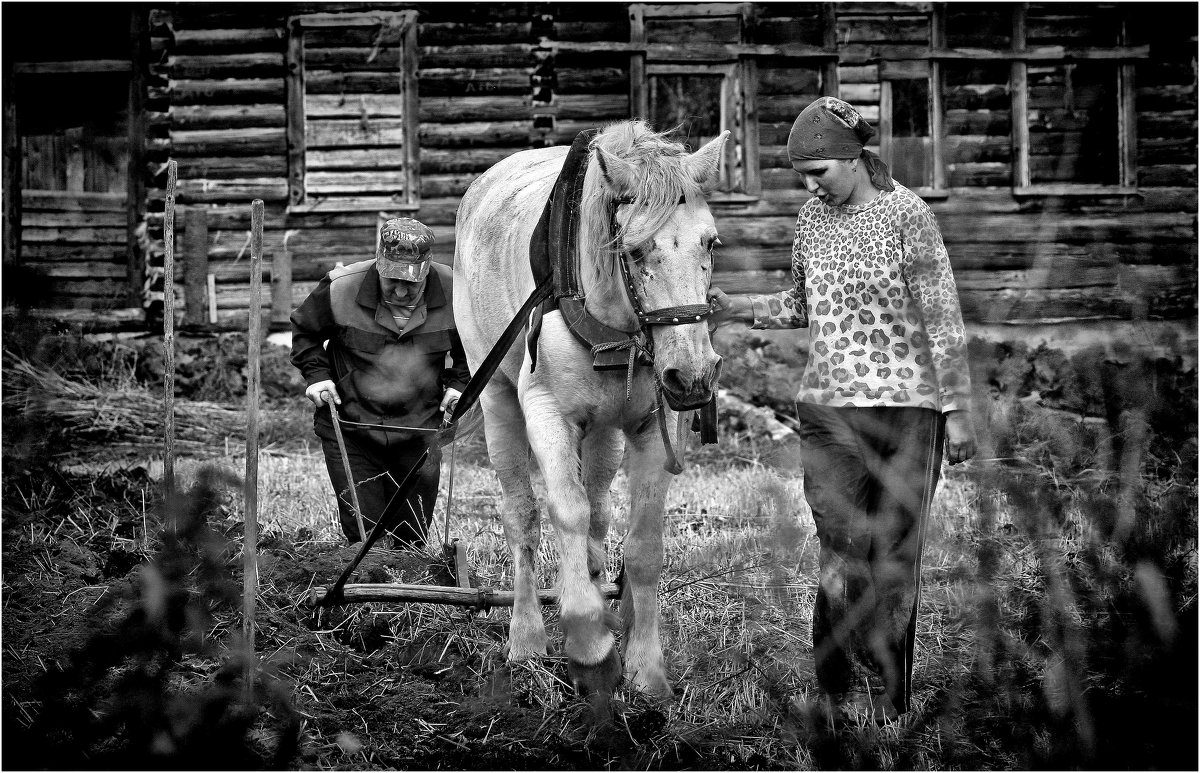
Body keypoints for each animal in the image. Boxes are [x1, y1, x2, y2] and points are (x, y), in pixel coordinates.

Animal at [453, 119, 724, 700]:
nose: (692, 376)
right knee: (524, 518)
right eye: (636, 251)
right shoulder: (547, 413)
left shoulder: (653, 424)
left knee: (599, 511)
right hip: (499, 401)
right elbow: (567, 513)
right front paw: (588, 646)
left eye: (709, 241)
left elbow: (642, 543)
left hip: (605, 430)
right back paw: (527, 639)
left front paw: (645, 666)